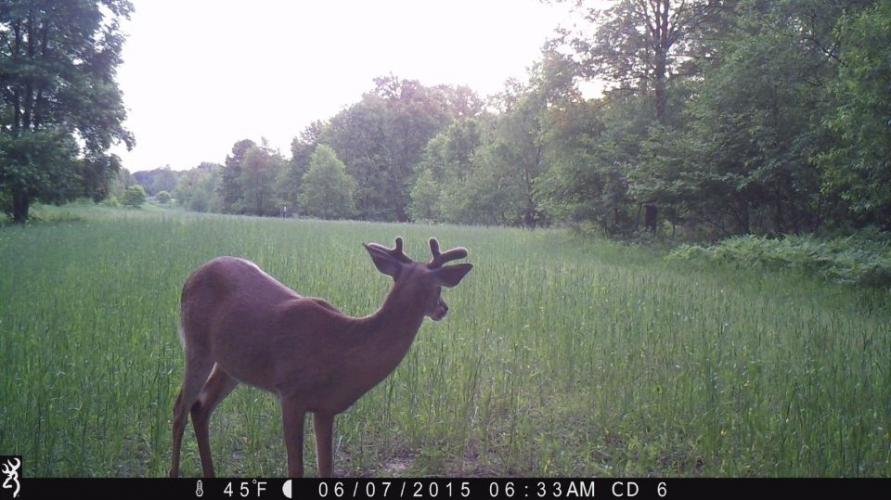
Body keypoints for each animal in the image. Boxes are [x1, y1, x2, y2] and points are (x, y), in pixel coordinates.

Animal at [169, 237, 472, 478]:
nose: (443, 308)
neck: (342, 348)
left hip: (231, 365)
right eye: (438, 287)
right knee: (180, 407)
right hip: (196, 346)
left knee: (201, 406)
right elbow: (296, 468)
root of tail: (191, 276)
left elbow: (326, 468)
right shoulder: (290, 394)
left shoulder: (326, 408)